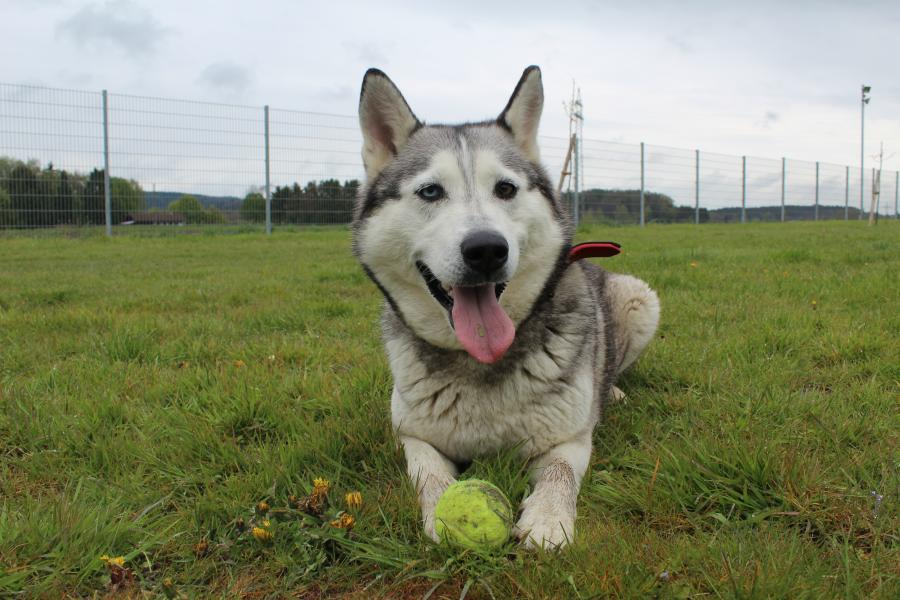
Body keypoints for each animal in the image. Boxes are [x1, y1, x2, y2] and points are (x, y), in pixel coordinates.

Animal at [354, 65, 660, 548]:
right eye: (430, 191)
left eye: (505, 188)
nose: (485, 250)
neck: (480, 363)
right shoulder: (412, 435)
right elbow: (428, 475)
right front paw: (441, 512)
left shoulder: (570, 439)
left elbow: (559, 474)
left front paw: (548, 520)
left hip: (640, 298)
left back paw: (612, 389)